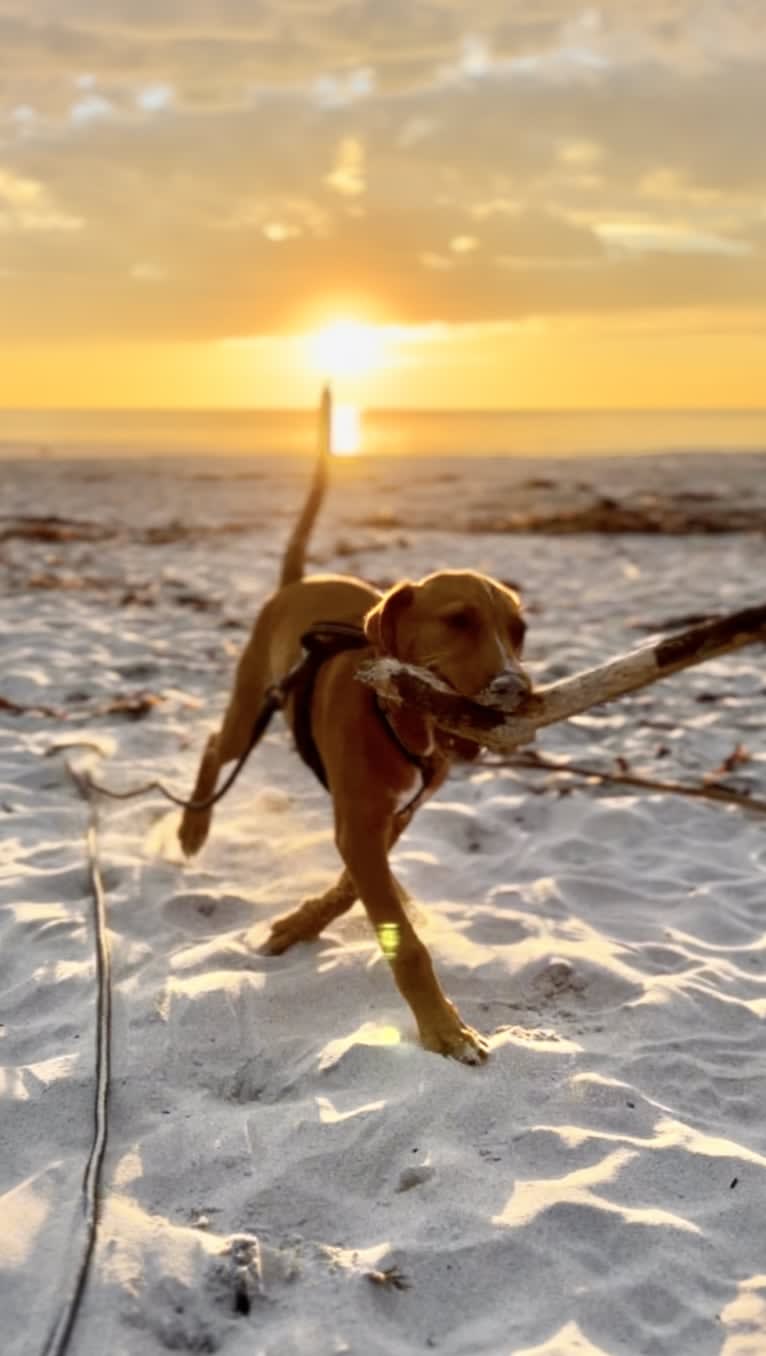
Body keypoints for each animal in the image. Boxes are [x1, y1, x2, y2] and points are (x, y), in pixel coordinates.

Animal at [178, 401, 526, 1057]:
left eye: (519, 632)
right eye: (458, 621)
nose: (516, 688)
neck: (400, 719)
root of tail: (298, 581)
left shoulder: (391, 818)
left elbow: (353, 888)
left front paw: (300, 924)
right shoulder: (362, 823)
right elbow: (403, 940)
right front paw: (443, 1027)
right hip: (248, 704)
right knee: (215, 746)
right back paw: (192, 828)